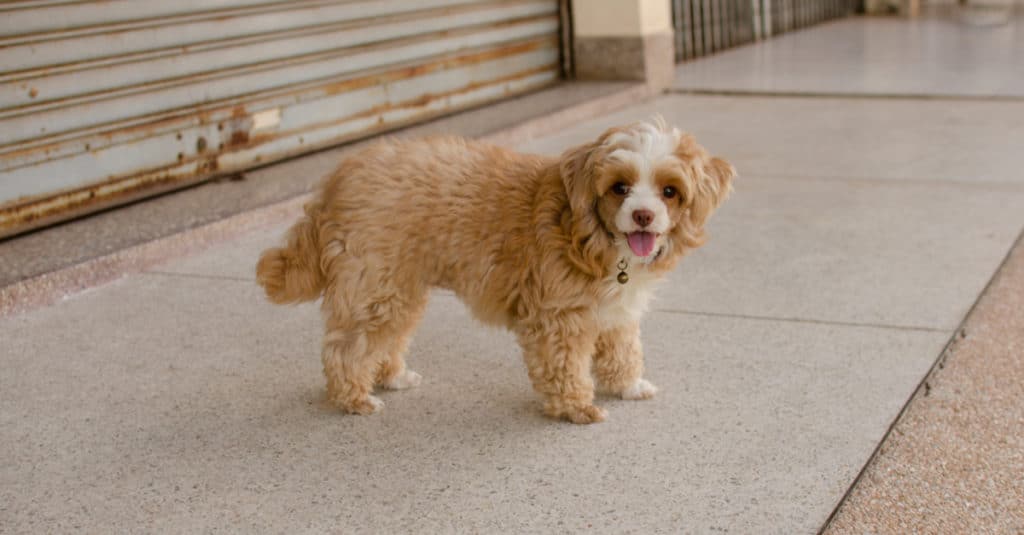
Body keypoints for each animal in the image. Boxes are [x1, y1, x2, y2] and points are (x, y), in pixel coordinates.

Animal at [256, 118, 737, 422]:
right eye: (620, 187)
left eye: (670, 191)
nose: (642, 216)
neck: (592, 233)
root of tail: (338, 177)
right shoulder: (558, 317)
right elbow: (565, 365)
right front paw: (575, 409)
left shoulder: (616, 312)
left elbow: (623, 350)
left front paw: (628, 386)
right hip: (375, 285)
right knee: (347, 347)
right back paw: (353, 398)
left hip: (397, 288)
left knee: (385, 338)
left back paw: (390, 377)